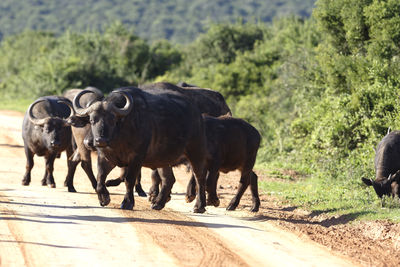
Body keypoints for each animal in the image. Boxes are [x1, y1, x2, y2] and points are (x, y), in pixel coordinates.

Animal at [73, 87, 208, 213]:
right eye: (92, 120)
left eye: (112, 120)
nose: (100, 140)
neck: (119, 137)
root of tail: (197, 114)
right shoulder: (105, 157)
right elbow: (100, 177)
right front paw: (104, 199)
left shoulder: (136, 158)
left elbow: (129, 179)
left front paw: (127, 203)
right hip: (163, 159)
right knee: (168, 179)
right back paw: (158, 203)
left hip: (196, 152)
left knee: (199, 177)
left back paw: (199, 206)